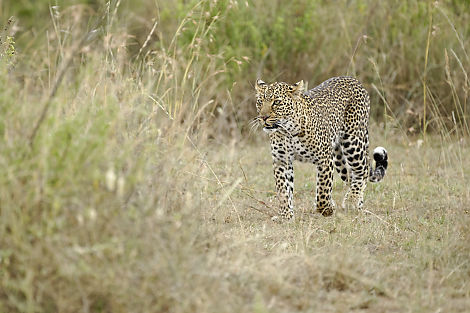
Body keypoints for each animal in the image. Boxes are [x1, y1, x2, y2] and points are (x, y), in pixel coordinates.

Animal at [255, 76, 388, 219]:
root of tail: (352, 79)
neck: (288, 131)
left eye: (277, 102)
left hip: (353, 143)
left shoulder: (324, 159)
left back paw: (352, 200)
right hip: (338, 157)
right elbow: (283, 190)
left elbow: (323, 190)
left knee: (363, 170)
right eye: (260, 102)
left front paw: (327, 209)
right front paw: (285, 215)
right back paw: (358, 203)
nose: (263, 117)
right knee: (350, 176)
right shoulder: (281, 160)